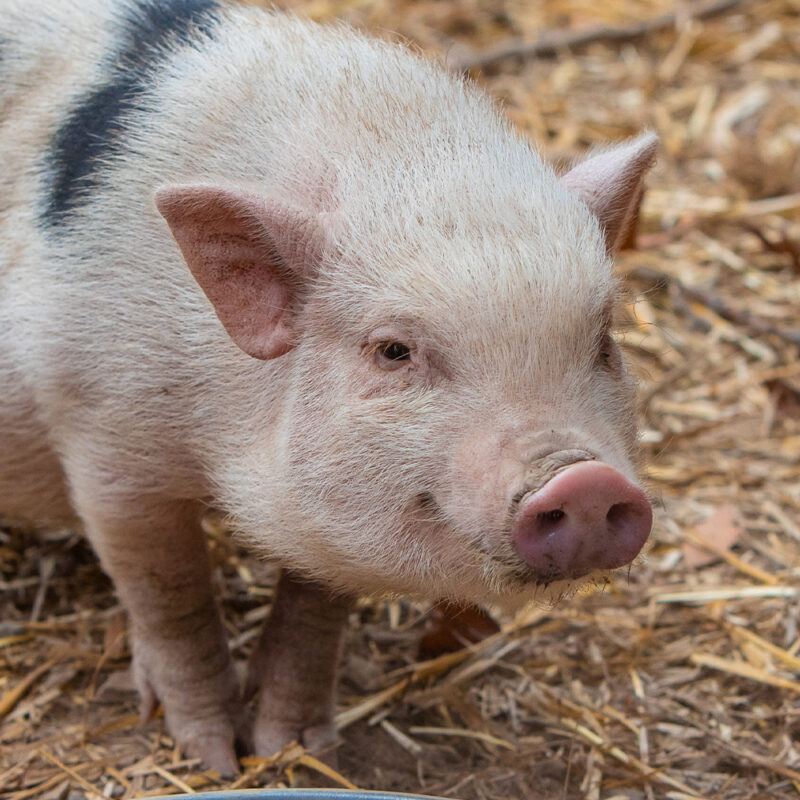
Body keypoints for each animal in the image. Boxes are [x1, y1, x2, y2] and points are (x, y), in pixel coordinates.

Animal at [0, 0, 656, 776]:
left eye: (603, 342)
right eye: (393, 351)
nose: (584, 481)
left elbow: (315, 612)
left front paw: (294, 746)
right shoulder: (104, 434)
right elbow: (170, 596)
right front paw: (217, 759)